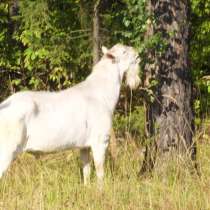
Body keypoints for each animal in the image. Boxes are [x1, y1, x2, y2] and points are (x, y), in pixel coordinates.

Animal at [0, 43, 141, 185]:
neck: (102, 93)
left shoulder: (84, 146)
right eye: (123, 51)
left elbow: (86, 171)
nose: (137, 54)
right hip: (7, 149)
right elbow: (100, 172)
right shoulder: (100, 140)